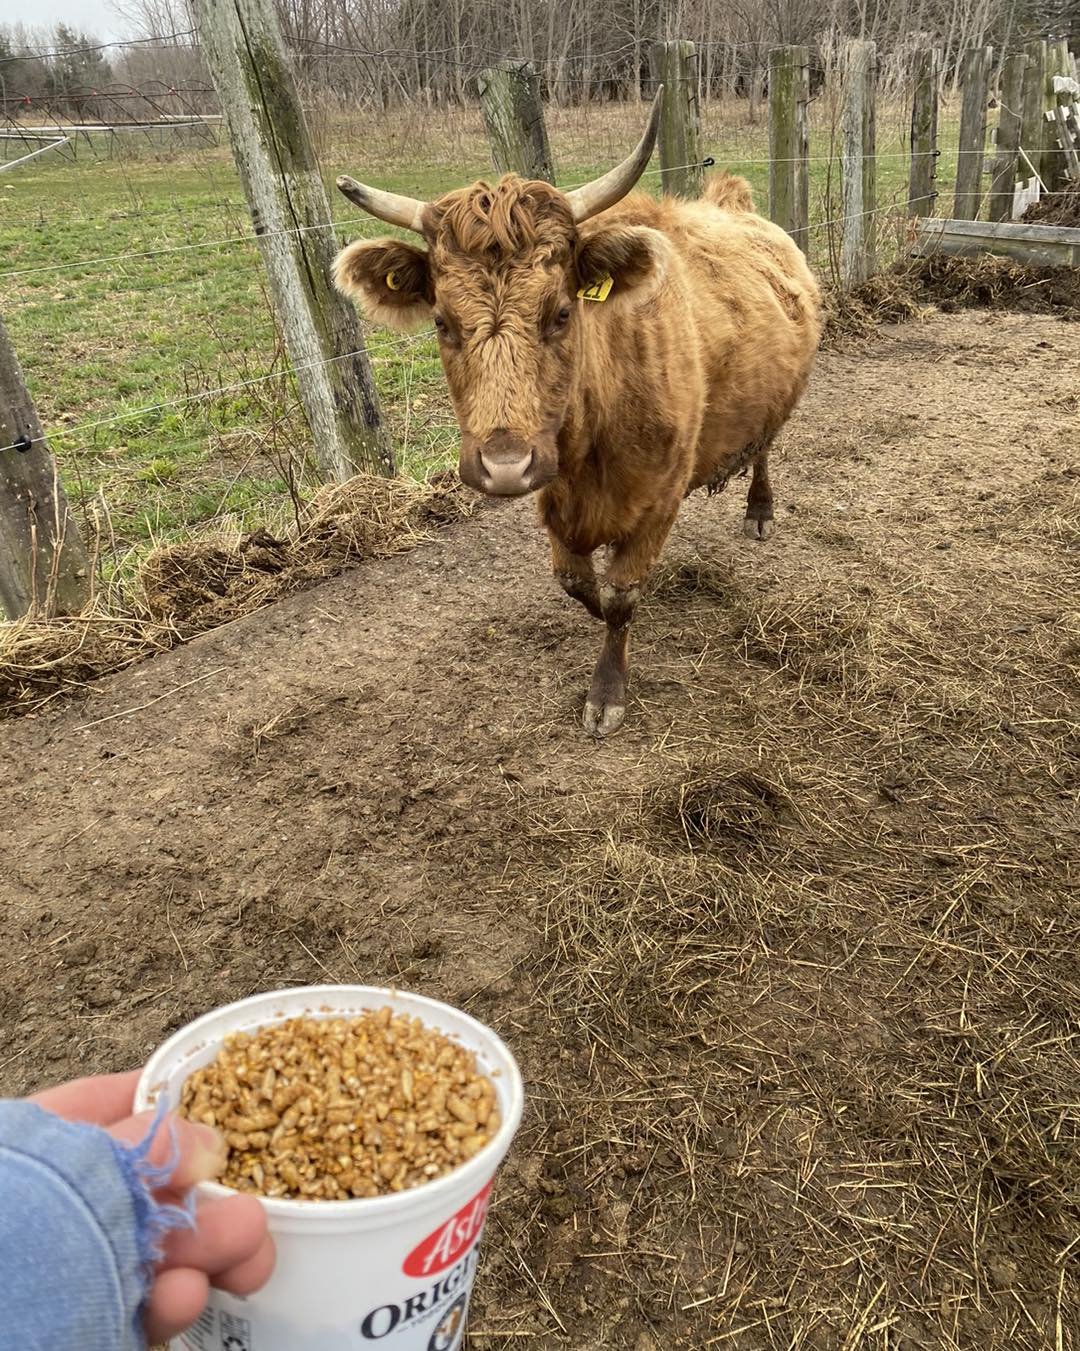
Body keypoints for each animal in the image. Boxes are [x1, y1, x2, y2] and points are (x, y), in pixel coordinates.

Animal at [331, 96, 821, 740]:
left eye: (561, 313)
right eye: (441, 322)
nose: (505, 465)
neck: (594, 440)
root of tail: (735, 205)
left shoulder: (660, 498)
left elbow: (620, 597)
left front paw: (606, 692)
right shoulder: (555, 499)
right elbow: (580, 585)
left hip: (779, 402)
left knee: (764, 447)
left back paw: (759, 511)